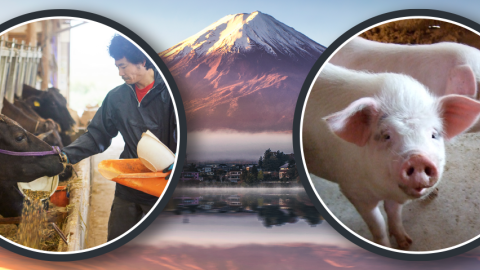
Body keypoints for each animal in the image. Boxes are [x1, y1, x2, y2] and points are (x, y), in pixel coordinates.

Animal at [302, 63, 480, 249]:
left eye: (433, 134)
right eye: (386, 136)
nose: (418, 159)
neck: (383, 190)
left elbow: (394, 212)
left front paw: (406, 243)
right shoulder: (352, 190)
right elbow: (378, 223)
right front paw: (387, 246)